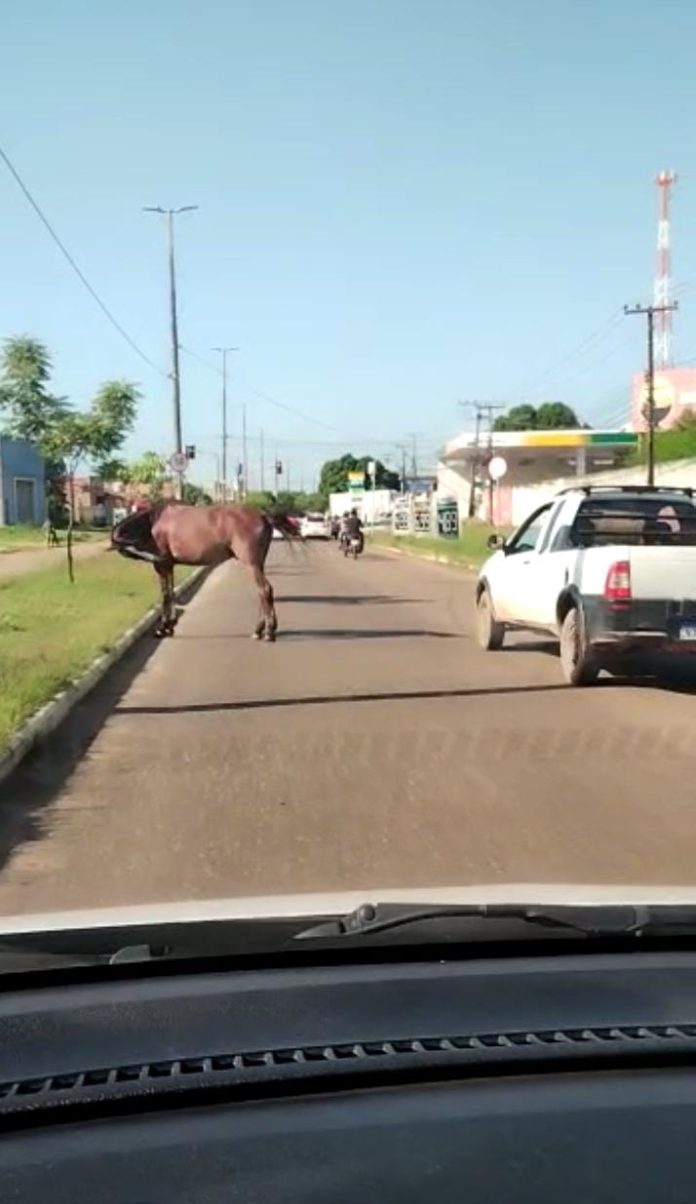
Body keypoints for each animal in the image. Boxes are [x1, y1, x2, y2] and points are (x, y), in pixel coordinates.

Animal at [110, 500, 298, 640]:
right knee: (262, 592)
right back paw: (260, 630)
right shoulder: (168, 565)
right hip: (258, 564)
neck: (152, 522)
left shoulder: (162, 565)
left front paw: (162, 628)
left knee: (265, 590)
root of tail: (263, 515)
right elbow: (171, 593)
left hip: (251, 563)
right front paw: (170, 625)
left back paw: (268, 632)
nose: (154, 556)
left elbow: (165, 595)